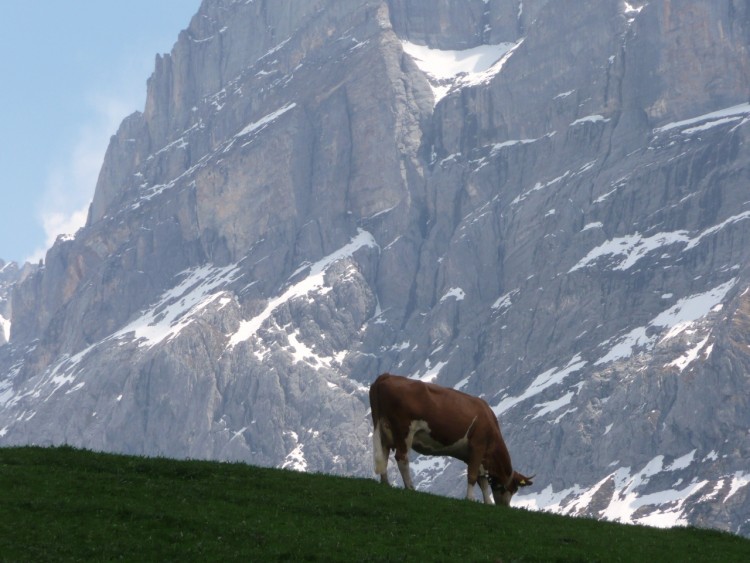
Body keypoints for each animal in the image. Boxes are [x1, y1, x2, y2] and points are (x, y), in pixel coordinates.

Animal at [370, 374, 536, 506]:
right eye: (514, 489)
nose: (504, 506)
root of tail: (387, 375)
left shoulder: (477, 457)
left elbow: (482, 481)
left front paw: (487, 502)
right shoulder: (478, 445)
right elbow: (472, 476)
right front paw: (470, 498)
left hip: (384, 430)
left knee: (384, 455)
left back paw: (385, 483)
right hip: (404, 431)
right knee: (401, 458)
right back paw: (410, 487)